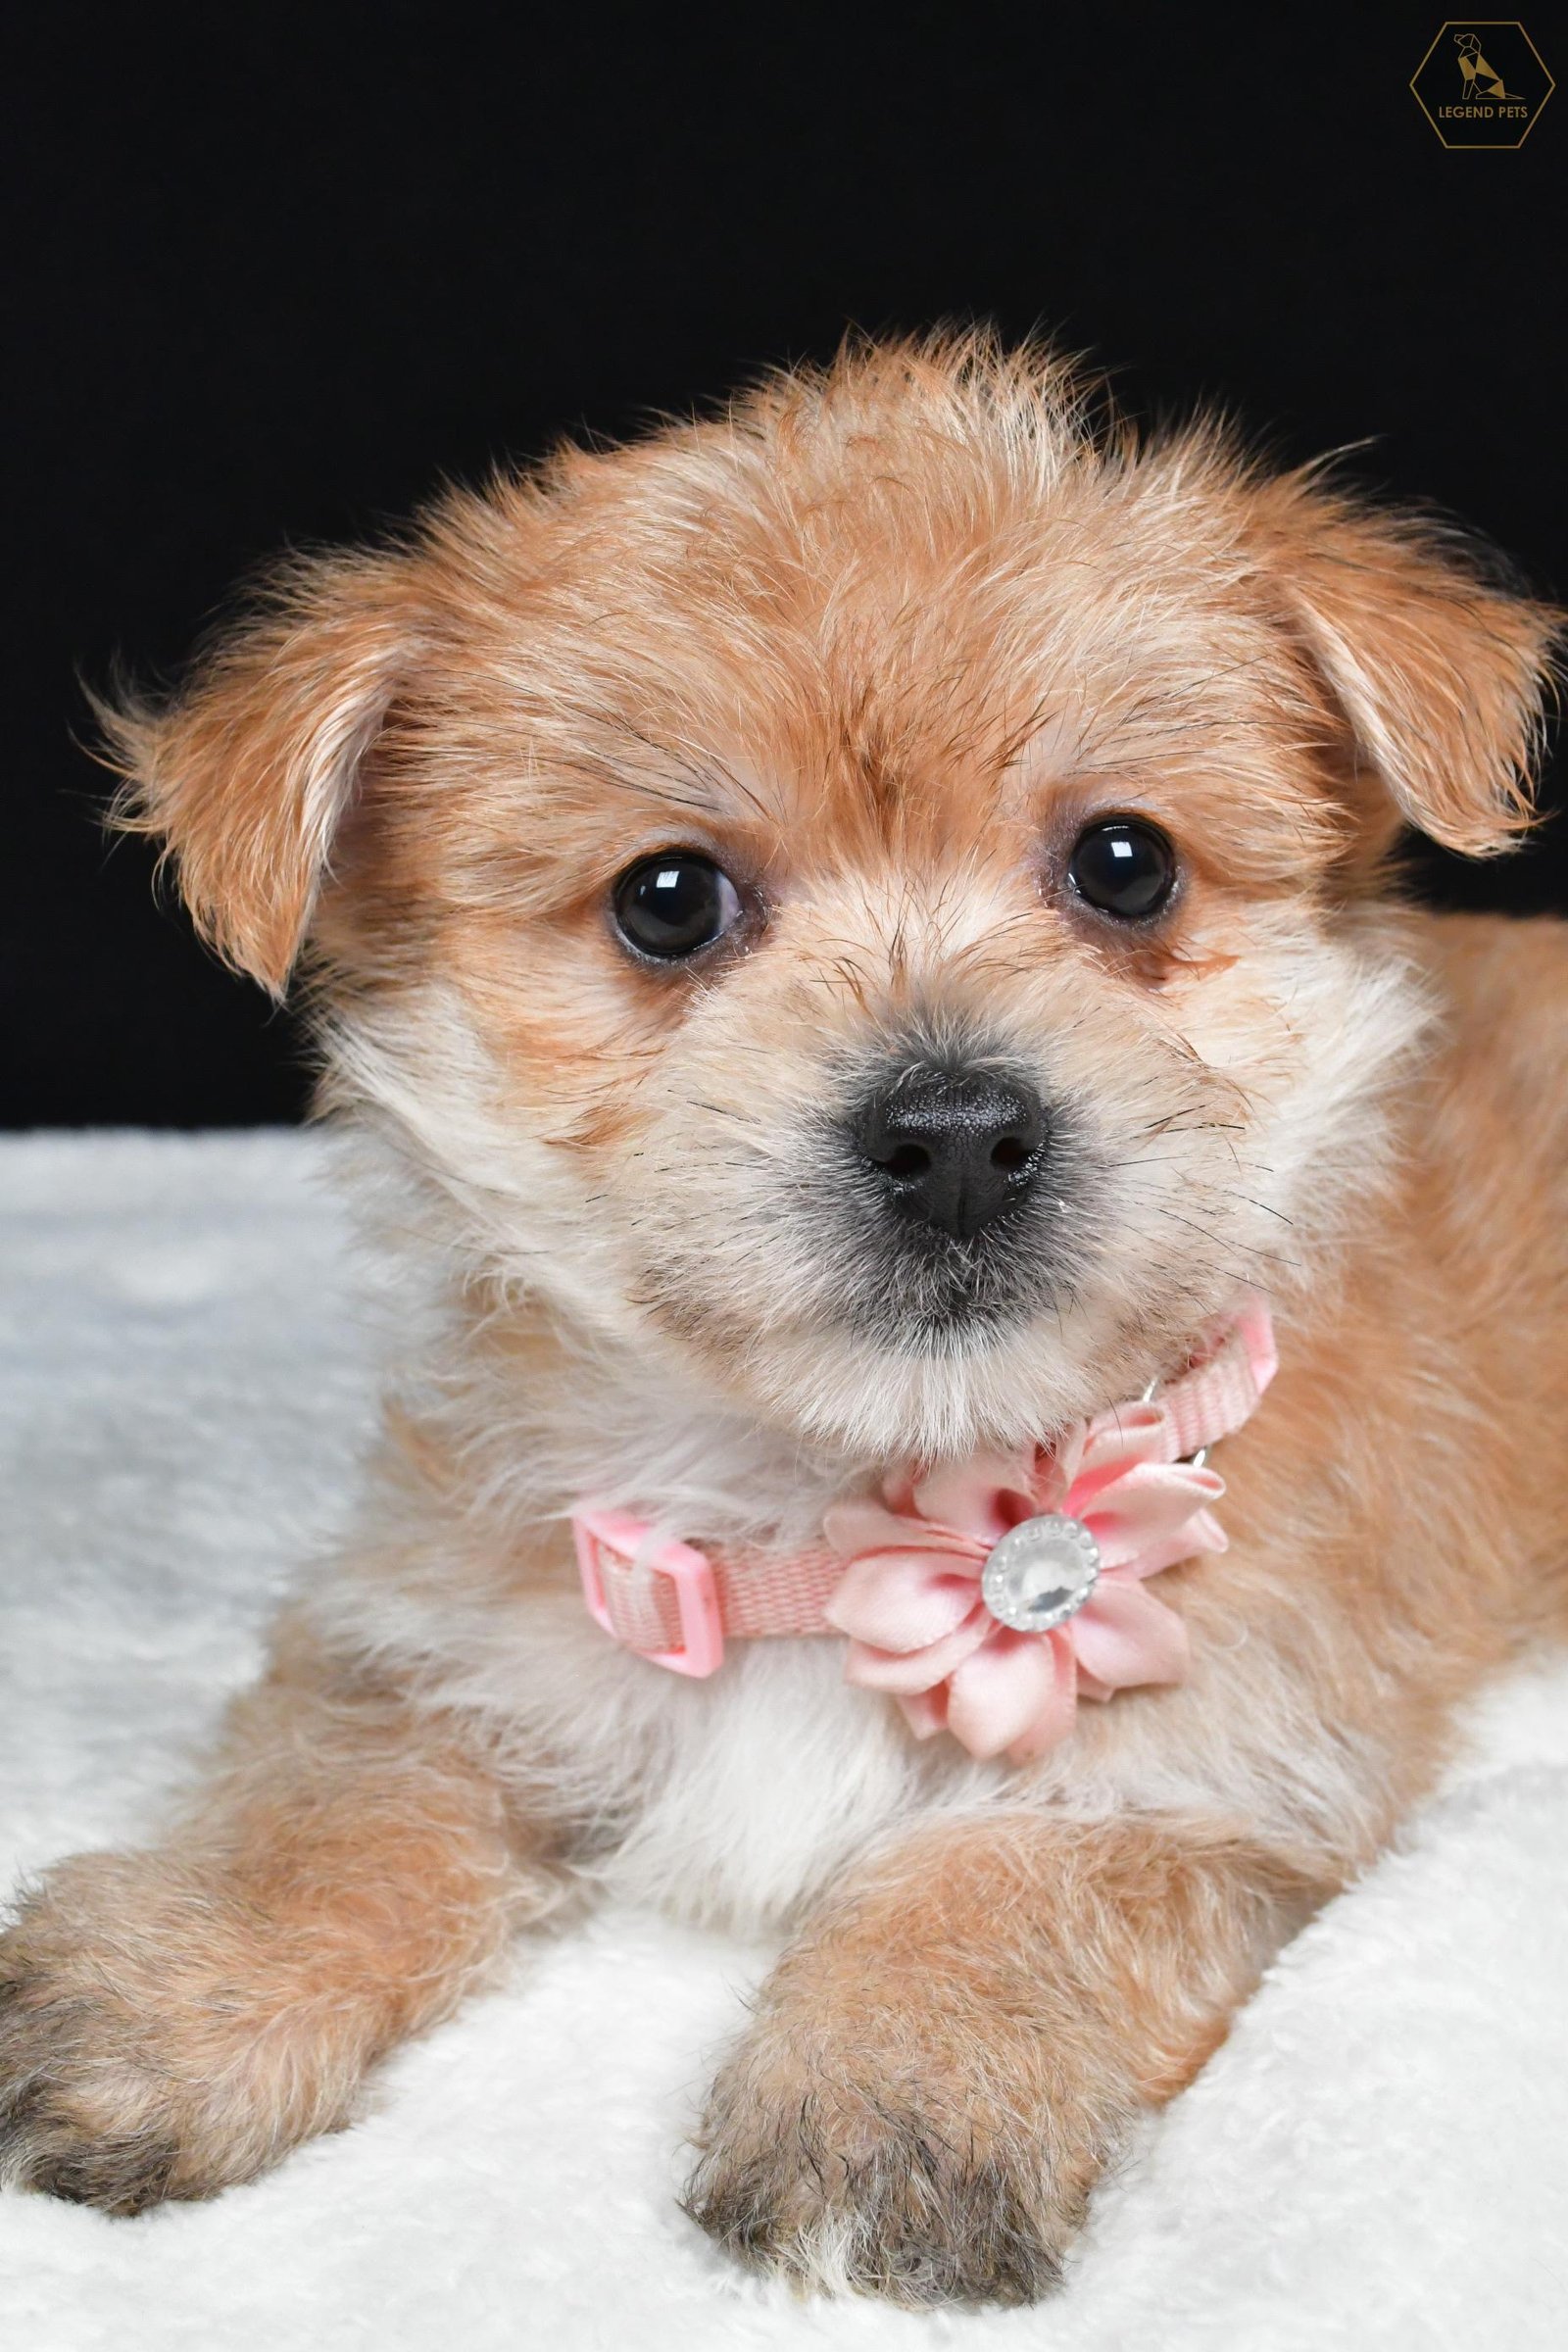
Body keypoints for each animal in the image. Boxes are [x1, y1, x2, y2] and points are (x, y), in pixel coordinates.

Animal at [1, 334, 1563, 2307]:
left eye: (1126, 864)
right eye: (667, 900)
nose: (957, 1134)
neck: (837, 1518)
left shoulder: (1218, 1763)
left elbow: (1019, 1880)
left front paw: (898, 2083)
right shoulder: (433, 1638)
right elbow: (328, 1799)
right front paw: (182, 1987)